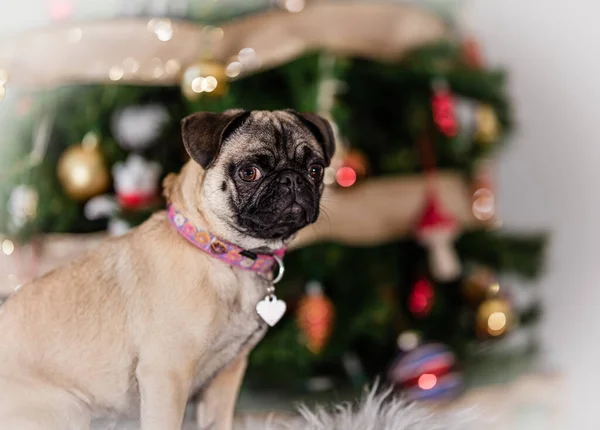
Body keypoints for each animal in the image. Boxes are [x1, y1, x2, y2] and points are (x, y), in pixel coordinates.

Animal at [0, 109, 332, 428]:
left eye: (315, 170)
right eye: (249, 172)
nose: (292, 179)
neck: (221, 254)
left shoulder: (226, 375)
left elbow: (218, 422)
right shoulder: (167, 374)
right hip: (70, 409)